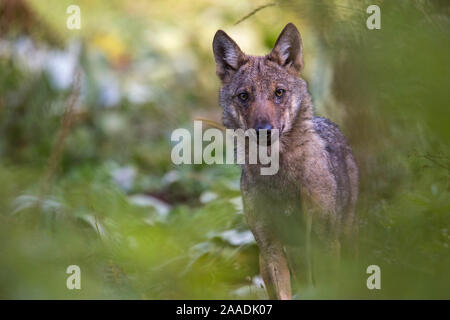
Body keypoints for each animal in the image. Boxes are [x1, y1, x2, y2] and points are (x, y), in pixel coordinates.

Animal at [213, 23, 360, 300]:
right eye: (244, 96)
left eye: (279, 92)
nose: (264, 131)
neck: (279, 179)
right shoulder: (269, 248)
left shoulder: (324, 241)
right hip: (296, 254)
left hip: (339, 238)